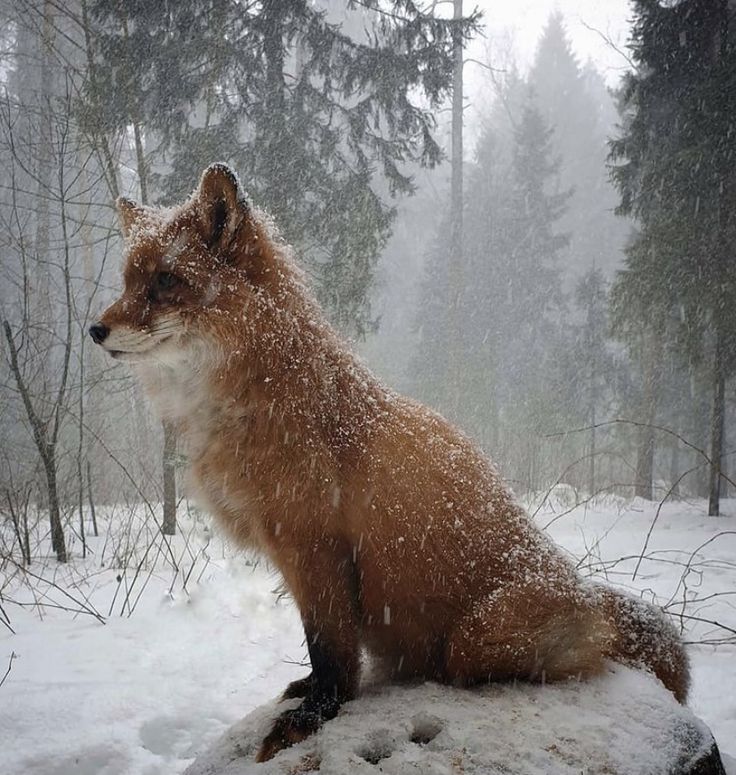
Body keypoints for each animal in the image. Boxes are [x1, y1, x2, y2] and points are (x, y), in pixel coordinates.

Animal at [90, 165, 688, 764]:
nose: (95, 330)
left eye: (165, 280)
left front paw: (315, 714)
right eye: (128, 283)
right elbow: (318, 651)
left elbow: (331, 650)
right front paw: (307, 692)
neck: (258, 402)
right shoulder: (298, 557)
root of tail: (587, 591)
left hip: (475, 638)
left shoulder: (316, 547)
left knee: (526, 663)